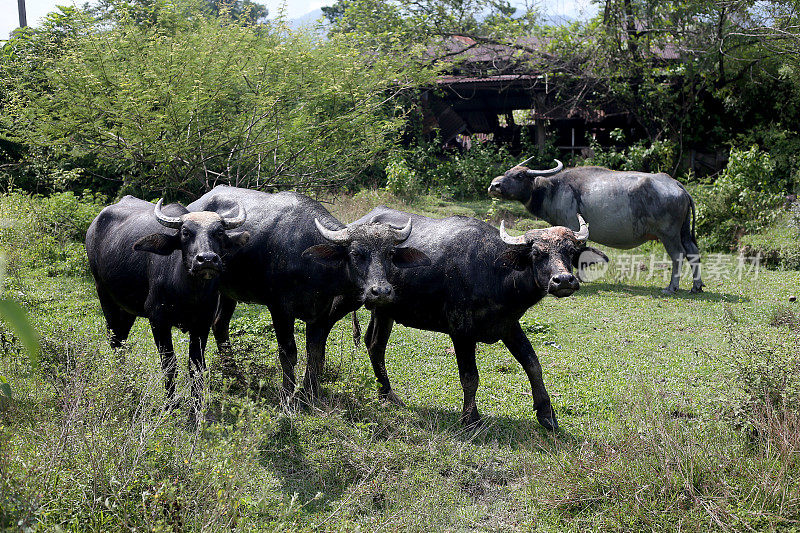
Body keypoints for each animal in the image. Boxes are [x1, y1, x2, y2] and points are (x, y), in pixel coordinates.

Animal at [85, 194, 250, 412]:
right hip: (104, 295)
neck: (188, 291)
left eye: (220, 232)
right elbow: (169, 364)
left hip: (128, 308)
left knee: (121, 339)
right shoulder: (158, 320)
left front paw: (197, 405)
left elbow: (196, 366)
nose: (206, 260)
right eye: (186, 232)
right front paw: (170, 405)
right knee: (114, 339)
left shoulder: (203, 323)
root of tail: (93, 226)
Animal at [186, 187, 432, 404]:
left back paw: (234, 375)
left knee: (220, 324)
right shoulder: (280, 309)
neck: (310, 261)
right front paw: (288, 395)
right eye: (356, 253)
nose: (380, 291)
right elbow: (288, 353)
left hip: (229, 293)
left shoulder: (321, 311)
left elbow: (315, 352)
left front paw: (311, 393)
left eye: (389, 254)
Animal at [350, 206, 608, 430]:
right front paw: (471, 419)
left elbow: (533, 364)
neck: (495, 272)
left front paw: (547, 414)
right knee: (375, 345)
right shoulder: (461, 331)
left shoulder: (508, 325)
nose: (563, 280)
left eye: (570, 252)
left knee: (373, 343)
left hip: (383, 310)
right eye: (537, 253)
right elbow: (470, 377)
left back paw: (386, 394)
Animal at [484, 158, 704, 294]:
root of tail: (676, 184)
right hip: (684, 231)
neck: (554, 190)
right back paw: (697, 286)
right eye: (507, 172)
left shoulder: (573, 228)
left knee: (678, 254)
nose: (494, 185)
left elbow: (578, 253)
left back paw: (671, 287)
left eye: (519, 176)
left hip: (669, 234)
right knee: (693, 251)